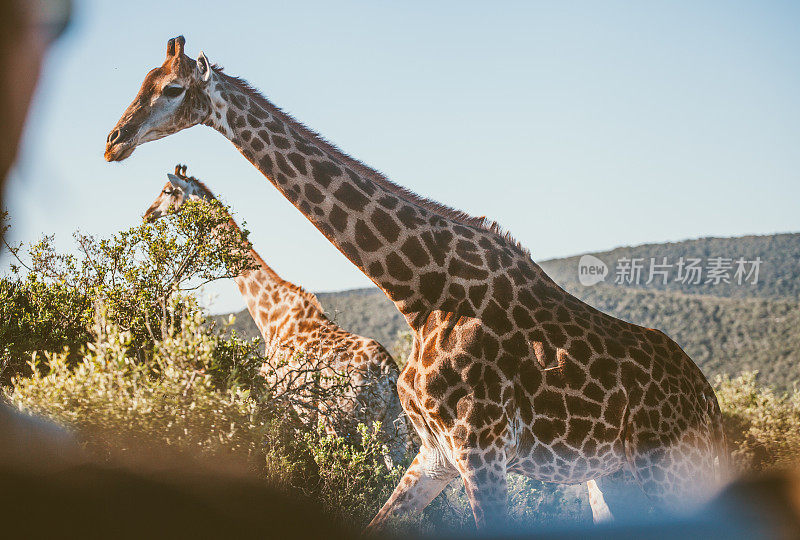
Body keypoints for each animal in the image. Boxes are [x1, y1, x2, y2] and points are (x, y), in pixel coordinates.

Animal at [142, 162, 412, 466]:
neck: (269, 315)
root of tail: (388, 374)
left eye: (167, 191)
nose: (148, 213)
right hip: (394, 430)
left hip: (346, 423)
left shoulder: (275, 397)